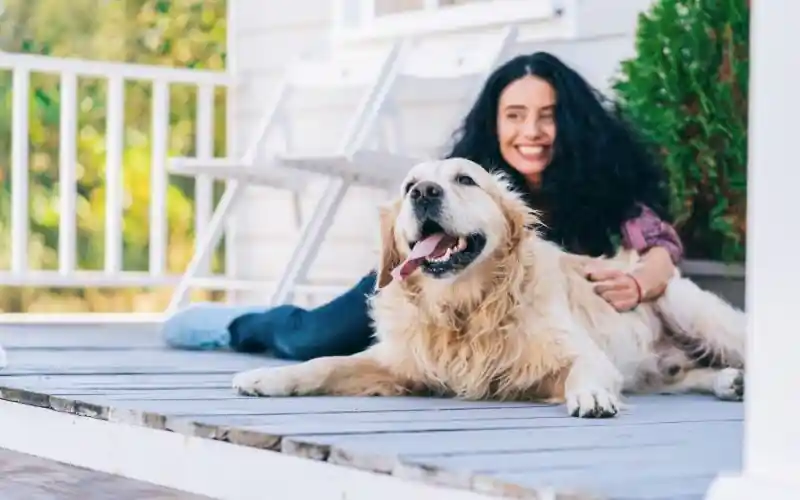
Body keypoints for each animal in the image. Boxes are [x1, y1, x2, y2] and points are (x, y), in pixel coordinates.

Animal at [231, 158, 744, 416]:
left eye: (465, 179)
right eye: (410, 183)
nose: (424, 193)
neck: (463, 308)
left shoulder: (580, 353)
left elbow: (585, 369)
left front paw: (590, 396)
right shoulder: (400, 363)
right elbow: (326, 363)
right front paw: (266, 378)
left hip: (688, 307)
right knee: (682, 375)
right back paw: (726, 382)